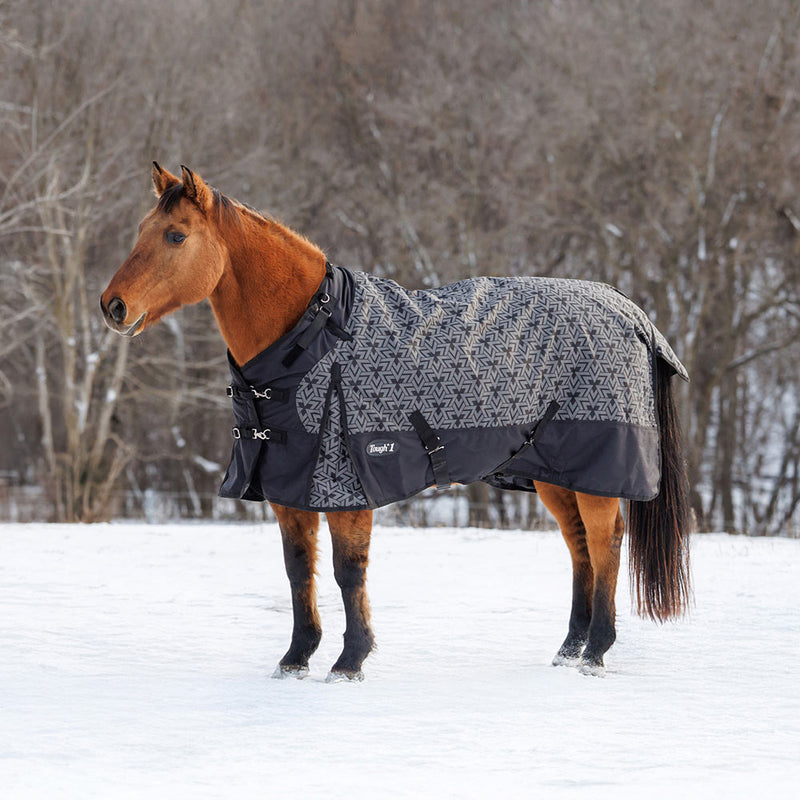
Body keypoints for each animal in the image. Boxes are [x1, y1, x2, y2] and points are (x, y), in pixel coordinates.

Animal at [101, 163, 691, 679]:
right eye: (140, 230)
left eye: (176, 236)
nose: (113, 305)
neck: (314, 339)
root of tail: (628, 310)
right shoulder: (288, 488)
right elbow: (298, 569)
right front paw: (296, 658)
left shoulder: (347, 485)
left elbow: (347, 571)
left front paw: (349, 661)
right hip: (555, 474)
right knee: (579, 547)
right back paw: (569, 649)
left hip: (597, 472)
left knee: (606, 541)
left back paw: (595, 652)